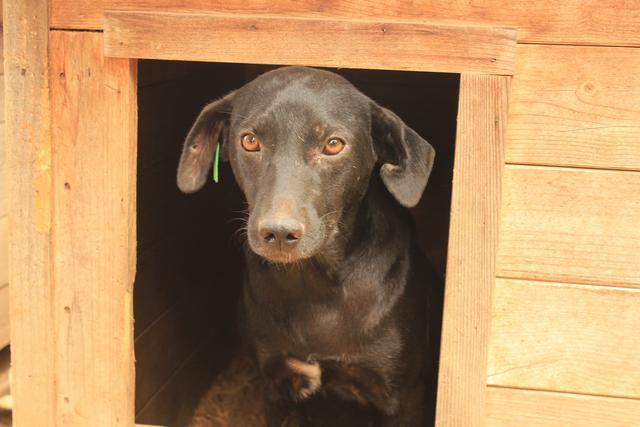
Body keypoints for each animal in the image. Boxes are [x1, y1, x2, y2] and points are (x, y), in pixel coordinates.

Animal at [178, 67, 442, 427]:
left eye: (333, 144)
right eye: (249, 141)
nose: (278, 233)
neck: (315, 287)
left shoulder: (403, 398)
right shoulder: (277, 388)